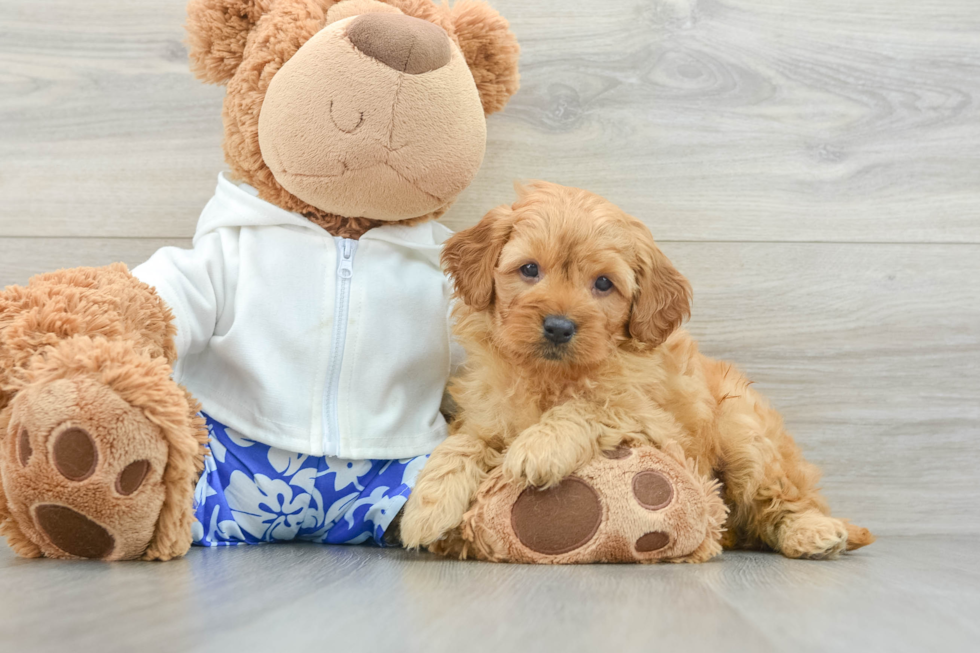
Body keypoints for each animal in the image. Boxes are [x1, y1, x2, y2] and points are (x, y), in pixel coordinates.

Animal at [402, 181, 876, 556]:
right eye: (530, 269)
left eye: (603, 283)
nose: (558, 326)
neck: (550, 376)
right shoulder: (486, 414)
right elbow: (464, 444)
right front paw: (427, 506)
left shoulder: (656, 425)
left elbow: (592, 406)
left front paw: (540, 446)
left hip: (745, 434)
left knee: (783, 499)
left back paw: (812, 533)